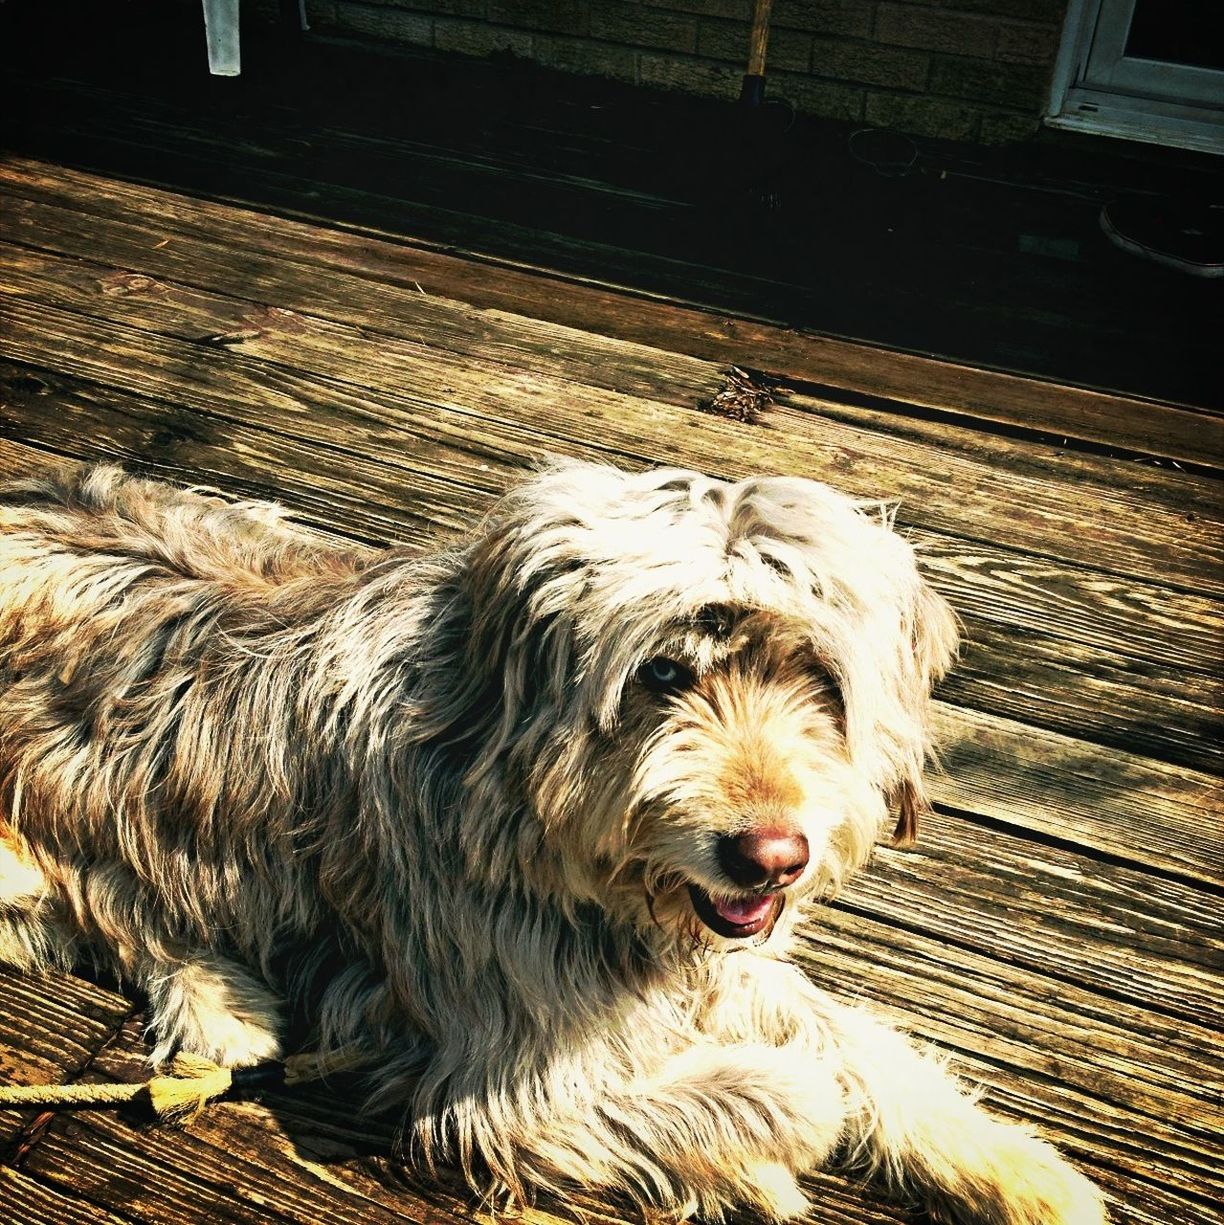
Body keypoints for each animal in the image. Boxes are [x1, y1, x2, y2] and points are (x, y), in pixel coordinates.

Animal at [0, 460, 1107, 1225]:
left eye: (819, 679)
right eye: (663, 672)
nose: (770, 855)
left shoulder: (718, 961)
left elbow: (860, 1046)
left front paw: (1024, 1173)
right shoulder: (505, 1085)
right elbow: (795, 1090)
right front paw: (764, 1156)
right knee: (99, 900)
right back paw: (219, 1006)